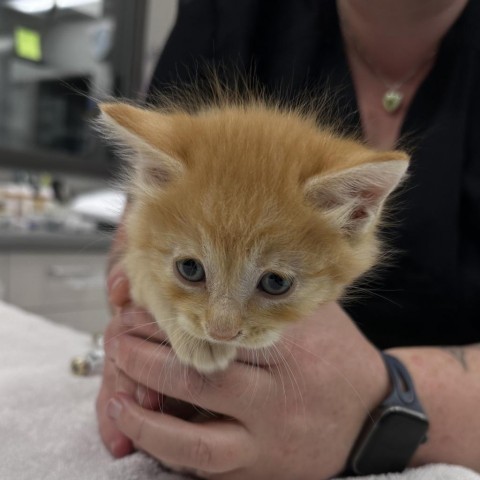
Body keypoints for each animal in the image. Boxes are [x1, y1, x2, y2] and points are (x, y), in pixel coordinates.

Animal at [98, 97, 408, 374]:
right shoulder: (133, 256)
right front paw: (195, 340)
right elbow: (147, 279)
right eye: (189, 268)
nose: (220, 333)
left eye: (276, 282)